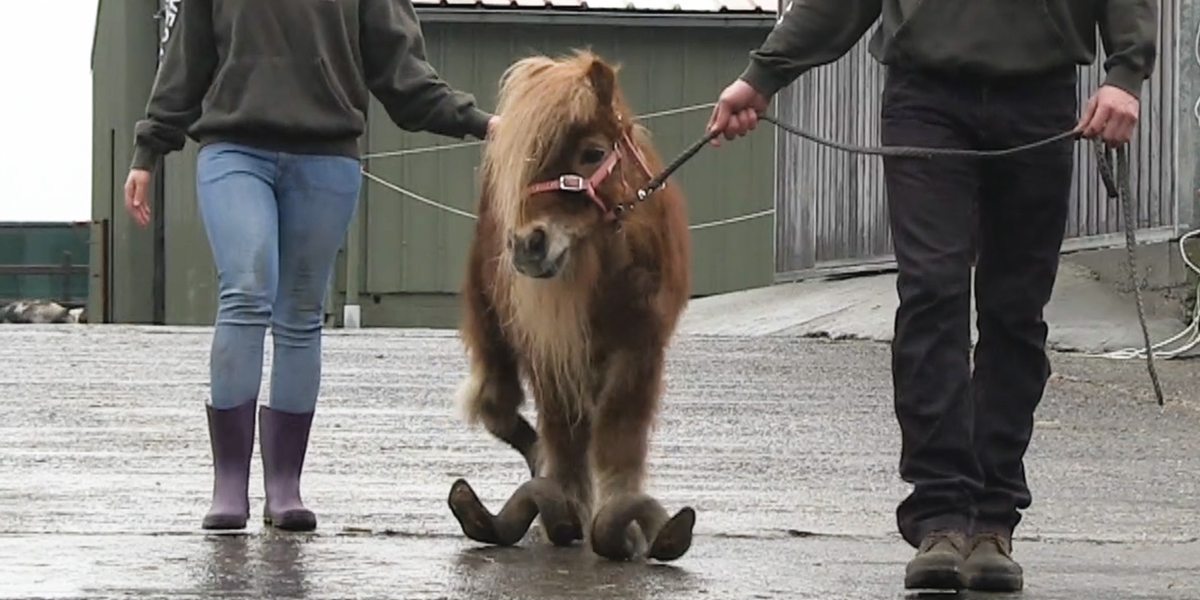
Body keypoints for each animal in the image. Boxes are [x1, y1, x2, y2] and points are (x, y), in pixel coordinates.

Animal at [448, 50, 696, 561]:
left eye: (594, 153)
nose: (528, 245)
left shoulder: (641, 351)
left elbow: (618, 435)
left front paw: (619, 523)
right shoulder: (553, 353)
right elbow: (565, 439)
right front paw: (569, 513)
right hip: (491, 327)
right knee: (498, 407)